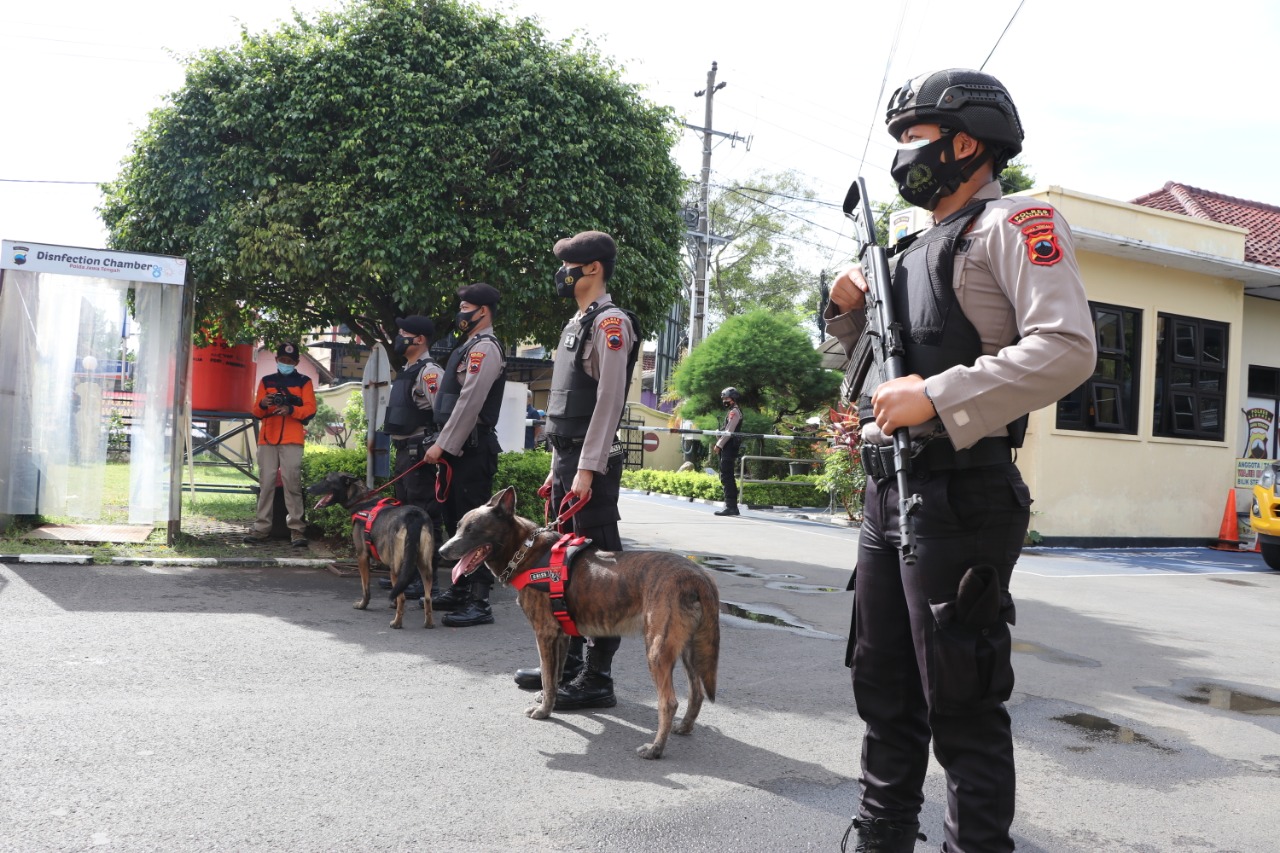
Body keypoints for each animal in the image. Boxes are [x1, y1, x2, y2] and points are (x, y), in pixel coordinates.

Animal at [308, 468, 435, 627]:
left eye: (327, 480)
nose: (307, 488)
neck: (362, 500)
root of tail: (413, 516)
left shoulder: (362, 556)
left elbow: (366, 587)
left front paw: (363, 605)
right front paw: (392, 604)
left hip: (396, 568)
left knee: (403, 598)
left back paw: (397, 623)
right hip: (424, 566)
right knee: (427, 598)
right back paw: (428, 623)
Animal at [437, 484, 721, 758]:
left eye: (472, 529)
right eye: (458, 526)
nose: (441, 551)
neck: (525, 550)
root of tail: (697, 576)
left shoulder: (544, 633)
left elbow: (547, 677)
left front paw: (543, 712)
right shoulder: (561, 636)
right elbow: (554, 677)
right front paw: (549, 703)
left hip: (657, 650)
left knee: (669, 702)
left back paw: (656, 748)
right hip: (688, 649)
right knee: (696, 692)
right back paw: (685, 726)